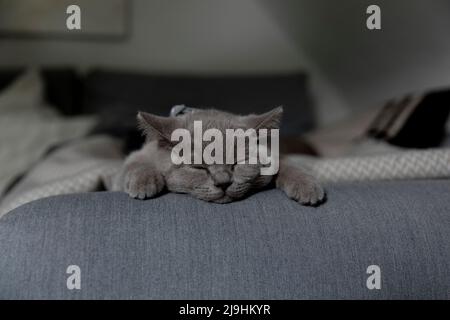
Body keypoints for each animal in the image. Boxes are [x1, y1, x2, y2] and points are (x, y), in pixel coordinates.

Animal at [111, 107, 326, 205]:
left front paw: (306, 186)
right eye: (198, 167)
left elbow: (287, 163)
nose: (223, 183)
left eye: (239, 162)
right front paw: (144, 183)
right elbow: (135, 164)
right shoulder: (139, 155)